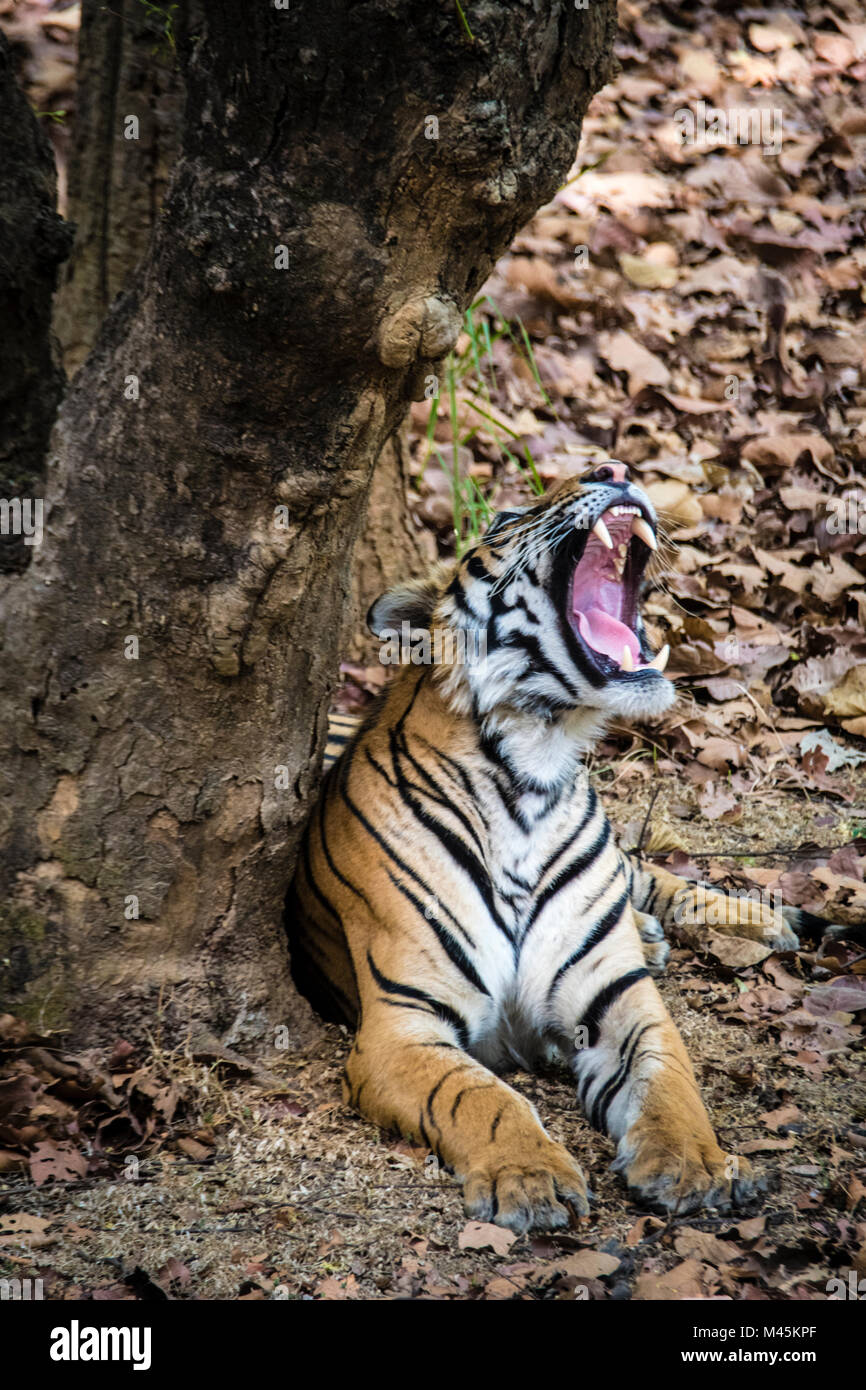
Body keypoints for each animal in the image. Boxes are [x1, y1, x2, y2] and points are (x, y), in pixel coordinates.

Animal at [287, 461, 839, 1234]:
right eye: (503, 519)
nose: (614, 468)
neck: (533, 773)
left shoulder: (620, 999)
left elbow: (671, 1081)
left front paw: (695, 1165)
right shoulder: (402, 1026)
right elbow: (482, 1098)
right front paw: (529, 1177)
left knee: (649, 875)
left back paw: (753, 919)